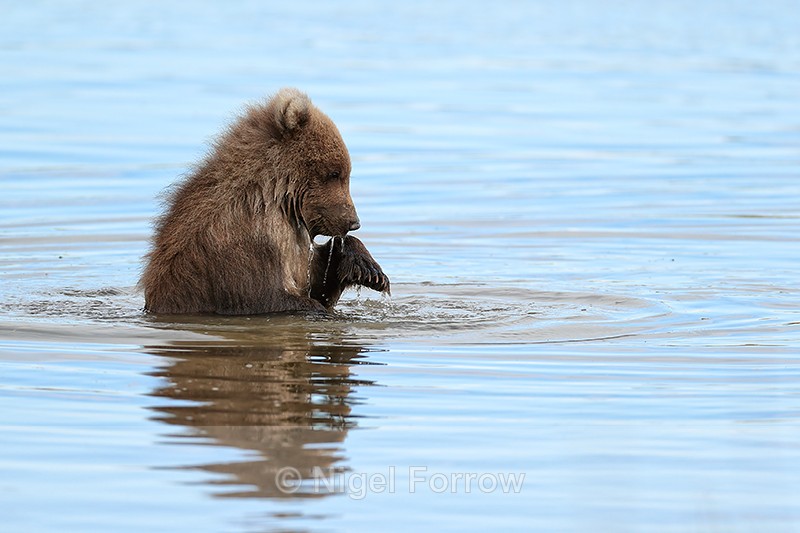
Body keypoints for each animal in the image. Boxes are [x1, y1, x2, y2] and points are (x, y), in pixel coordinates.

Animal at [140, 88, 389, 315]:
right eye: (334, 173)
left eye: (342, 173)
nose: (353, 222)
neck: (278, 199)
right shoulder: (252, 242)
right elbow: (267, 298)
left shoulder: (292, 241)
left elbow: (317, 280)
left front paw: (369, 271)